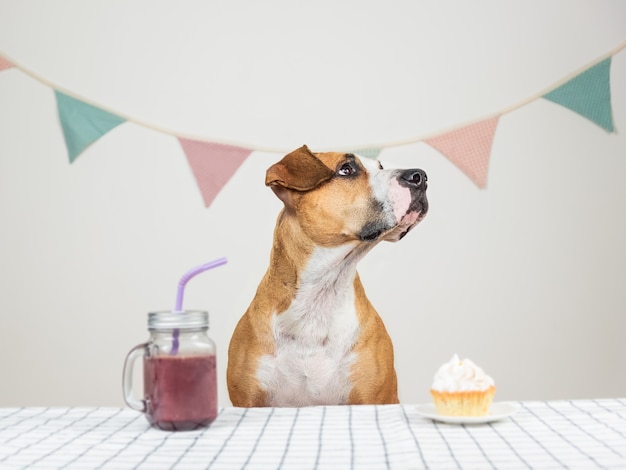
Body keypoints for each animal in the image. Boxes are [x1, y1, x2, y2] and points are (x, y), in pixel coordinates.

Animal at [227, 145, 426, 406]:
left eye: (380, 167)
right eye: (346, 169)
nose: (420, 176)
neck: (321, 290)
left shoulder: (375, 397)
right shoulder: (248, 400)